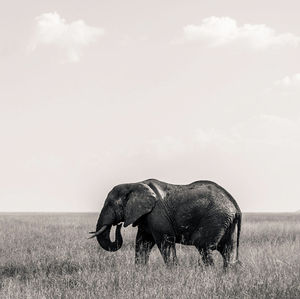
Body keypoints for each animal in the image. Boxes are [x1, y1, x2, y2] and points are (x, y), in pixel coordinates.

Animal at [89, 179, 241, 268]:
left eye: (110, 204)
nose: (118, 225)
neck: (135, 183)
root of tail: (235, 205)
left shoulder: (157, 214)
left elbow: (165, 242)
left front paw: (173, 272)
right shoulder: (146, 218)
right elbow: (142, 243)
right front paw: (140, 272)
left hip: (215, 219)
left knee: (204, 247)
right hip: (227, 222)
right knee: (228, 251)